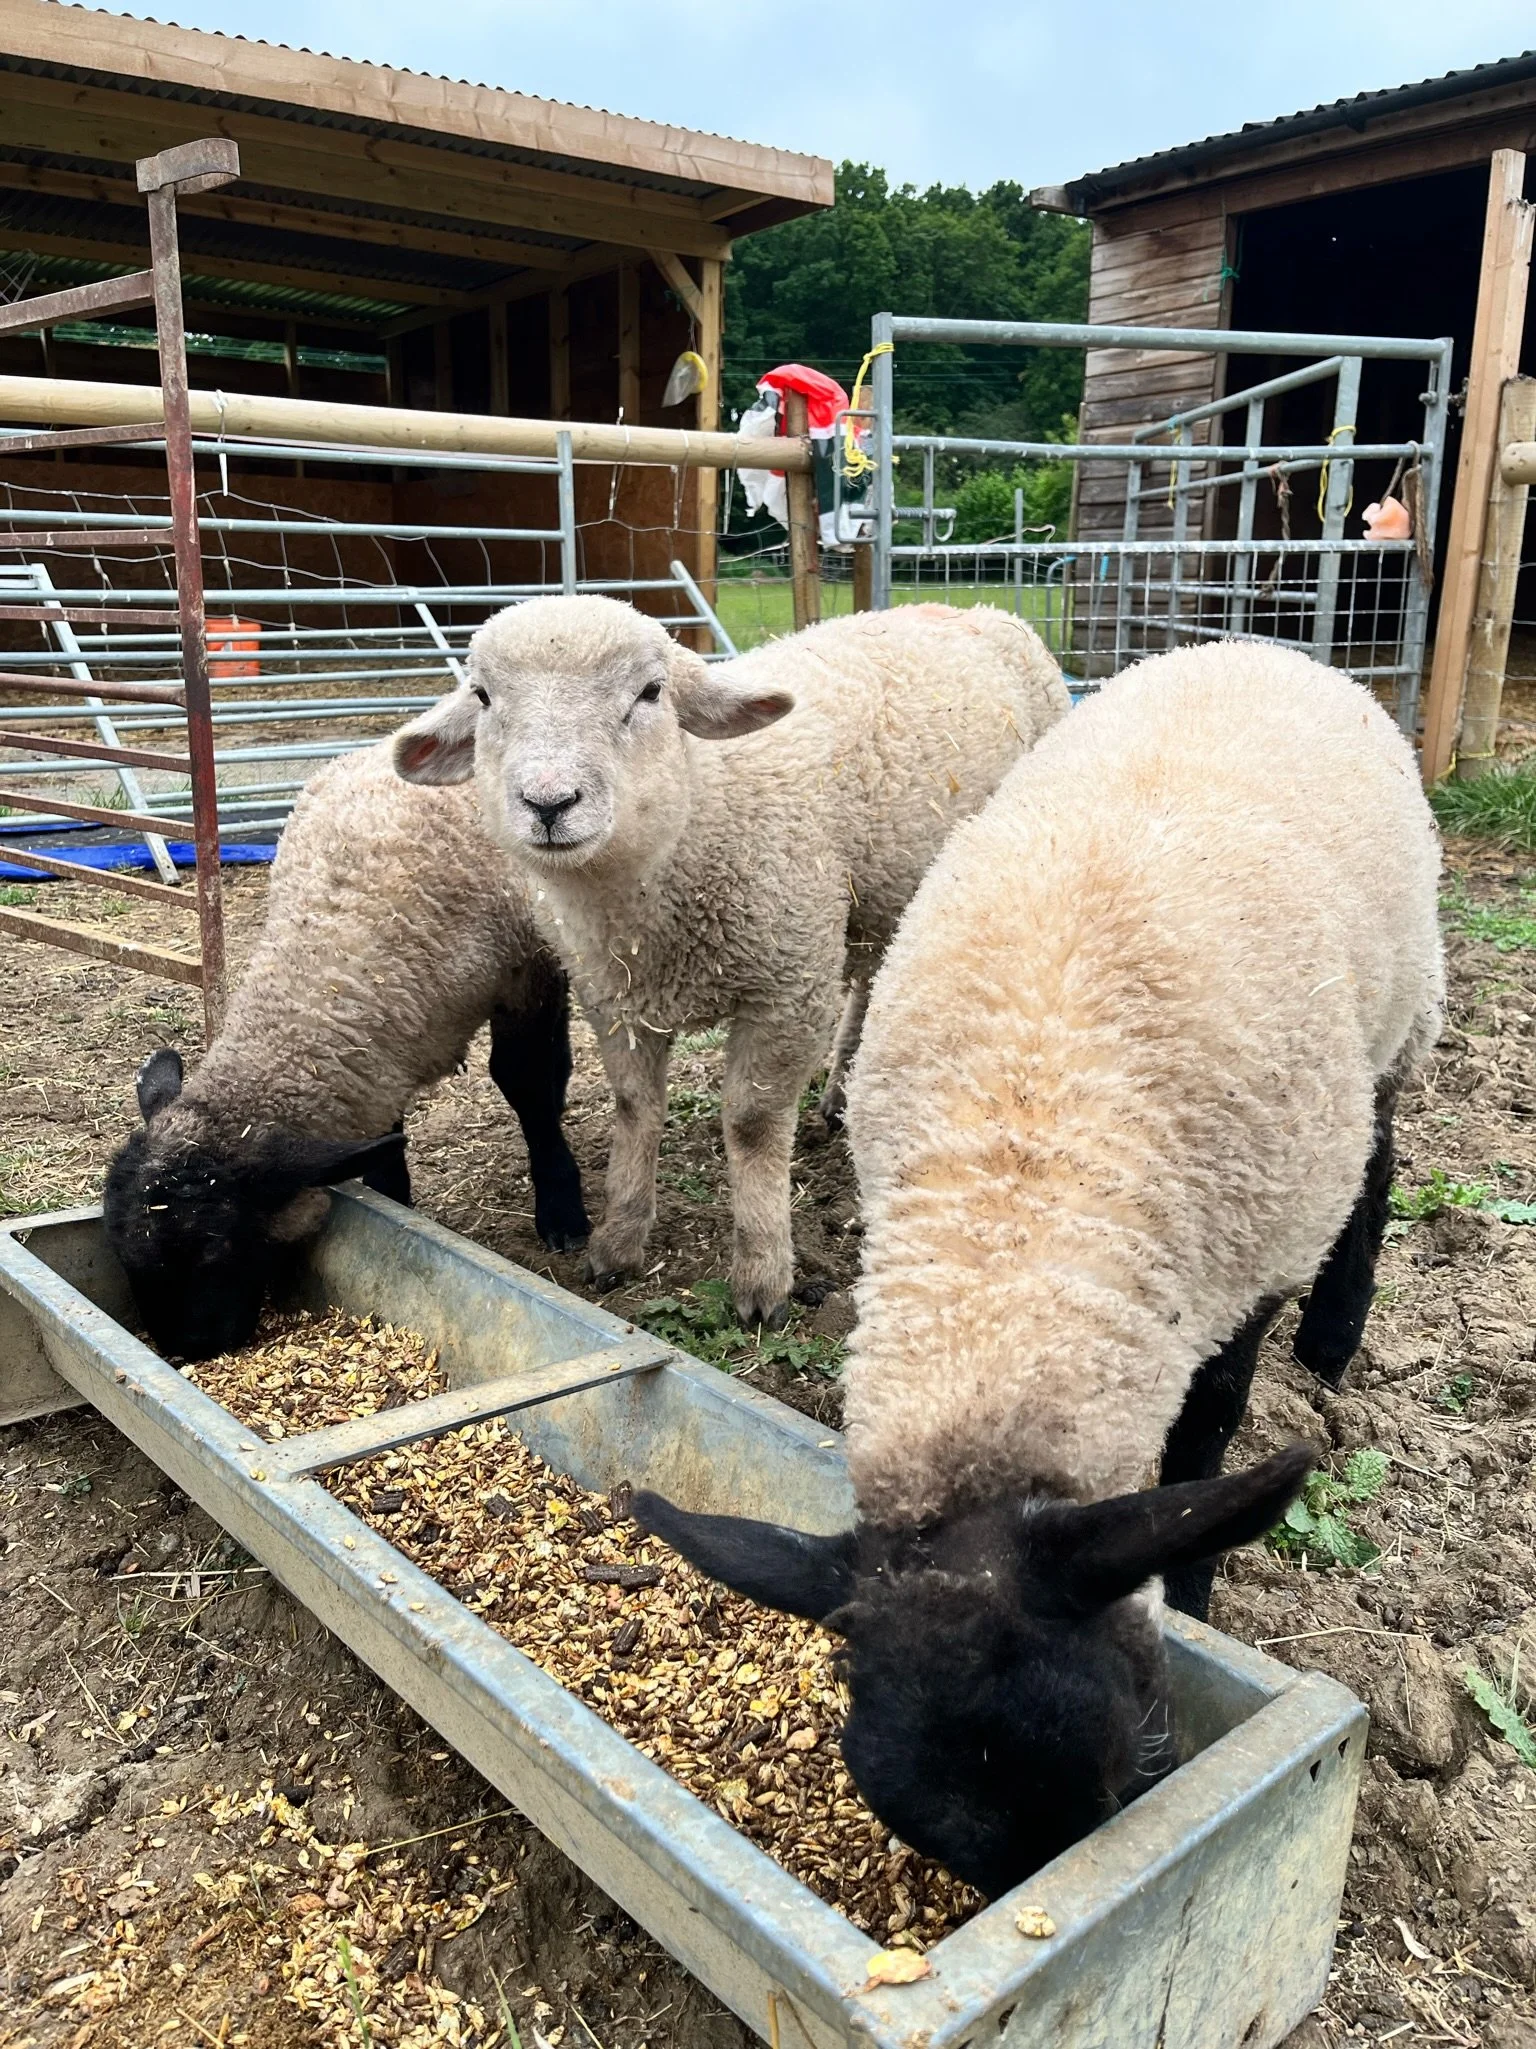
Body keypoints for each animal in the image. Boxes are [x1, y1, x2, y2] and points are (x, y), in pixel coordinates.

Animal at [104, 741, 589, 1361]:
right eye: (116, 1244)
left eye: (214, 1249)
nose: (190, 1350)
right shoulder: (377, 1051)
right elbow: (382, 1134)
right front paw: (396, 1204)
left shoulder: (525, 972)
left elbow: (523, 1083)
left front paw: (562, 1210)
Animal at [392, 595, 1070, 1327]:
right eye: (484, 697)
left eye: (651, 692)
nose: (549, 803)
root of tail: (976, 606)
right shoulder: (613, 997)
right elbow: (635, 1108)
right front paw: (618, 1240)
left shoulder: (789, 984)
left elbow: (752, 1126)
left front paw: (763, 1276)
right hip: (873, 897)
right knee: (868, 980)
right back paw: (837, 1095)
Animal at [634, 639, 1443, 1898]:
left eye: (1125, 1772)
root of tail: (1248, 644)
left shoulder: (1249, 1250)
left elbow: (1211, 1425)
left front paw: (1198, 1590)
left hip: (1392, 1023)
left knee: (1381, 1156)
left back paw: (1335, 1335)